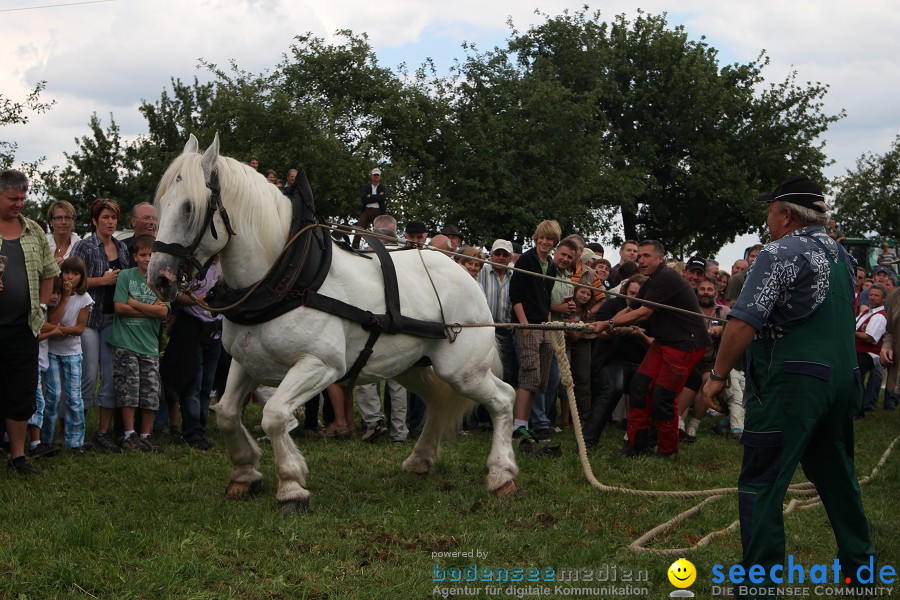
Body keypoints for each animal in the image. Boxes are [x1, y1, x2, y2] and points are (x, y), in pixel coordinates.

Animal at [149, 135, 520, 510]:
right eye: (161, 203)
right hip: (412, 366)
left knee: (504, 398)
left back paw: (501, 474)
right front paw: (244, 473)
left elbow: (275, 415)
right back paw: (420, 460)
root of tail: (466, 275)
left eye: (189, 208)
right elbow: (225, 413)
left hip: (462, 370)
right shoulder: (245, 362)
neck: (288, 278)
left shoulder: (321, 365)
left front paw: (292, 485)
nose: (160, 278)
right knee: (437, 402)